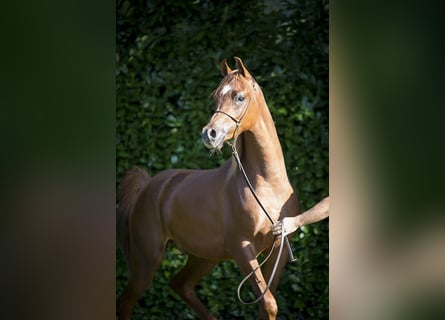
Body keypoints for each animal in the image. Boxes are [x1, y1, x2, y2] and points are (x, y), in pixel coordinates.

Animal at [117, 58, 320, 320]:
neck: (267, 185)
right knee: (127, 301)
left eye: (240, 97)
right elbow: (269, 303)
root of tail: (148, 186)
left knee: (181, 285)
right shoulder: (242, 248)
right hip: (147, 258)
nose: (209, 134)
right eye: (215, 97)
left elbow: (267, 302)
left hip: (203, 256)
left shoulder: (279, 249)